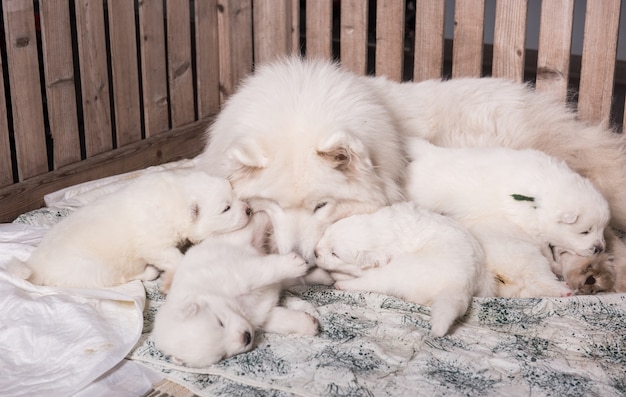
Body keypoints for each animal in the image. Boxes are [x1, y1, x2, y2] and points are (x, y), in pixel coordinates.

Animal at [150, 212, 316, 366]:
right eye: (221, 356)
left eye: (220, 322)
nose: (246, 337)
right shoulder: (258, 316)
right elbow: (278, 320)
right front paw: (308, 324)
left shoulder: (238, 274)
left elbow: (265, 271)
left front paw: (293, 265)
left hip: (238, 238)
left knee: (254, 225)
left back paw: (263, 216)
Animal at [314, 203, 490, 336]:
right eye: (326, 233)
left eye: (334, 254)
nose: (315, 252)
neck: (379, 233)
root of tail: (461, 284)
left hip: (403, 270)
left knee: (374, 284)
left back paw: (340, 283)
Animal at [402, 139, 608, 296]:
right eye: (585, 231)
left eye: (602, 229)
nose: (601, 248)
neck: (540, 199)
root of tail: (429, 153)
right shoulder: (530, 229)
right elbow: (547, 251)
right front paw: (556, 264)